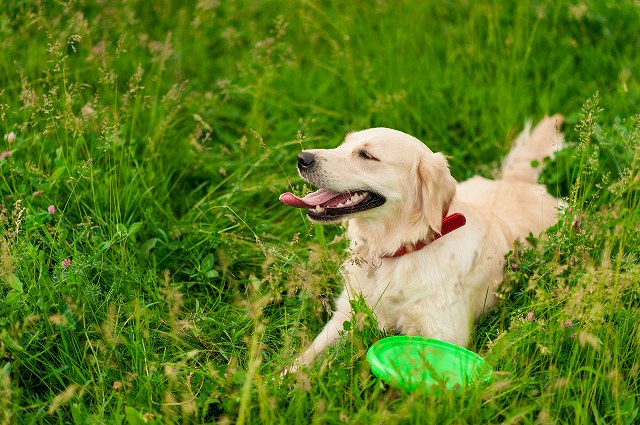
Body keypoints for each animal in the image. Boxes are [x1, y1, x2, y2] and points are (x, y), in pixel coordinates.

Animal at [280, 115, 564, 368]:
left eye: (367, 156)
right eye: (342, 145)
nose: (303, 158)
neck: (397, 251)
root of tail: (516, 181)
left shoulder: (444, 334)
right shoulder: (345, 315)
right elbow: (305, 358)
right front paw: (281, 379)